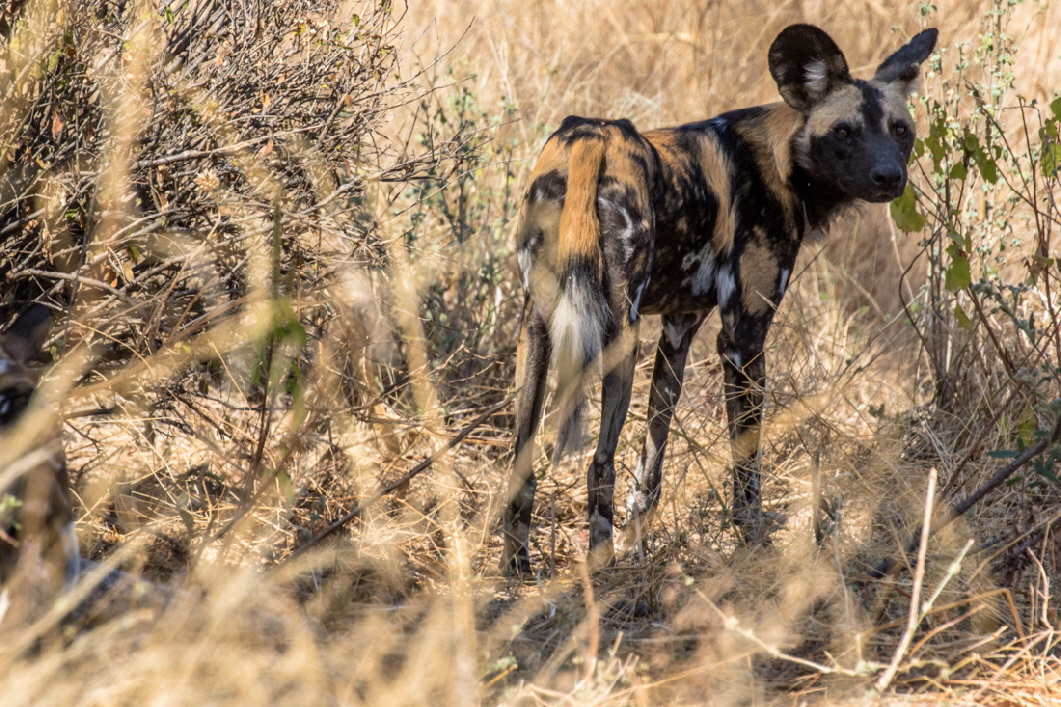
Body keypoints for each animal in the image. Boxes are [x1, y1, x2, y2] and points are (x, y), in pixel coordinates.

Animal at [502, 23, 937, 573]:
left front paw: (640, 548)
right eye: (844, 132)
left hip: (537, 332)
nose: (888, 177)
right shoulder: (742, 340)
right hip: (620, 338)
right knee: (599, 462)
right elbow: (746, 465)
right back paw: (601, 569)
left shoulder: (678, 330)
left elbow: (651, 464)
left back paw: (517, 568)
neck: (780, 161)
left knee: (521, 460)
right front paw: (753, 549)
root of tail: (591, 135)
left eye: (900, 130)